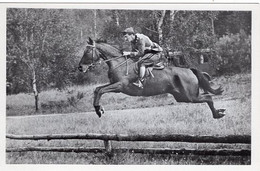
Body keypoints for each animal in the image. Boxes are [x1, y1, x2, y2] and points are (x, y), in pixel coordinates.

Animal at [77, 37, 225, 119]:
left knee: (208, 97)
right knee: (207, 97)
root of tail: (189, 70)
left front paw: (98, 110)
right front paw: (98, 109)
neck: (118, 63)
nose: (80, 68)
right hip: (182, 96)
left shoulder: (120, 86)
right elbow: (98, 89)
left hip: (190, 96)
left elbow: (101, 90)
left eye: (87, 51)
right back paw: (218, 113)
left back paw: (218, 114)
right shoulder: (114, 85)